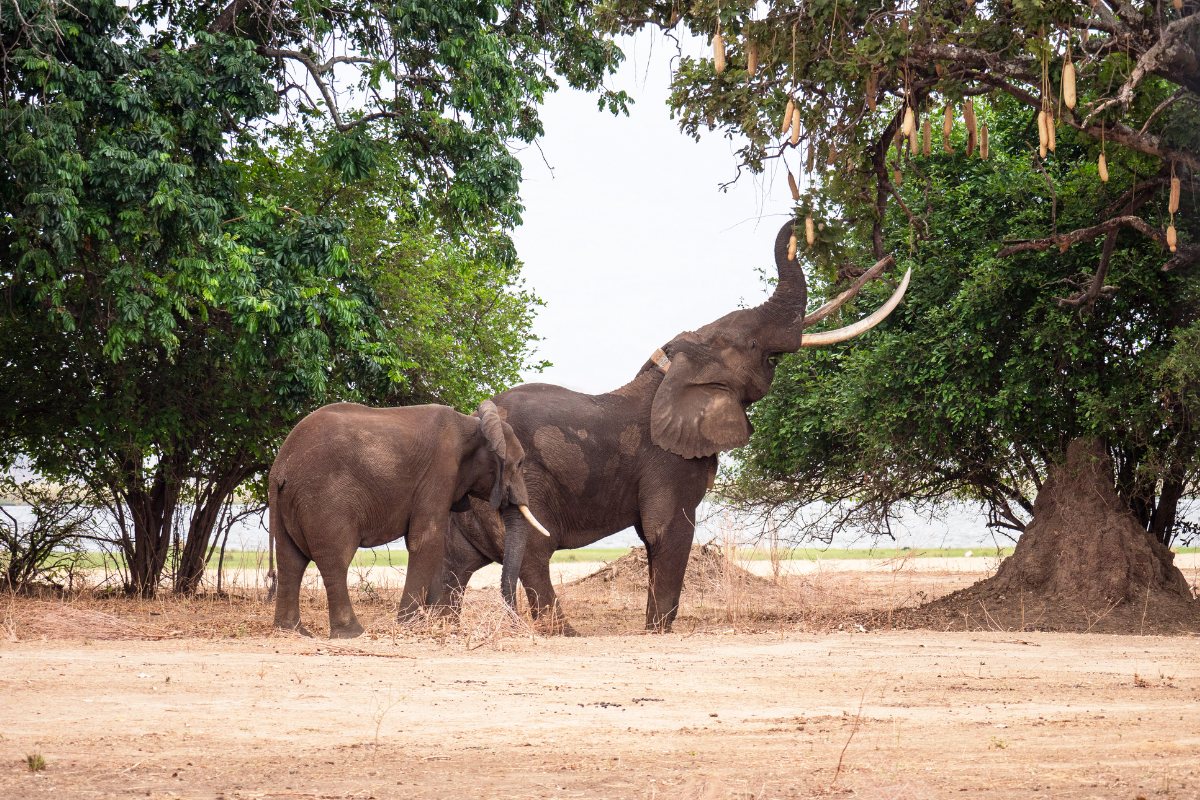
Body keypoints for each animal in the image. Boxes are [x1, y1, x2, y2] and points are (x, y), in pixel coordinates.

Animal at [268, 400, 551, 638]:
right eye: (519, 463)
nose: (518, 623)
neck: (472, 424)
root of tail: (279, 468)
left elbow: (436, 545)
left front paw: (433, 622)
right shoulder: (440, 471)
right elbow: (427, 539)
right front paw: (410, 624)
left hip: (289, 501)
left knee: (290, 560)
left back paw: (292, 632)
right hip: (324, 499)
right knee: (334, 559)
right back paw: (352, 634)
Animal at [436, 220, 910, 633]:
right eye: (753, 344)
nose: (891, 257)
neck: (673, 369)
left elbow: (654, 537)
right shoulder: (668, 460)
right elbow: (668, 532)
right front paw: (657, 631)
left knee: (455, 560)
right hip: (522, 481)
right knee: (534, 553)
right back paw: (564, 634)